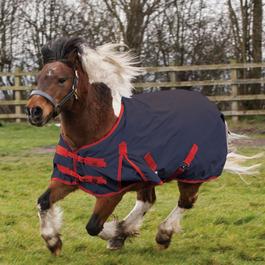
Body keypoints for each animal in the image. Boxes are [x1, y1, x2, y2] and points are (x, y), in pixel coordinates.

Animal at [26, 36, 260, 254]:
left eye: (62, 79)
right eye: (39, 78)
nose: (34, 111)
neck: (94, 133)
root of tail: (214, 110)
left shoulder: (111, 192)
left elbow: (93, 226)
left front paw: (117, 232)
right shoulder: (68, 178)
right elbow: (43, 202)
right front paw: (53, 241)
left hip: (190, 175)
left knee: (185, 202)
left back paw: (162, 235)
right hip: (148, 176)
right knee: (148, 200)